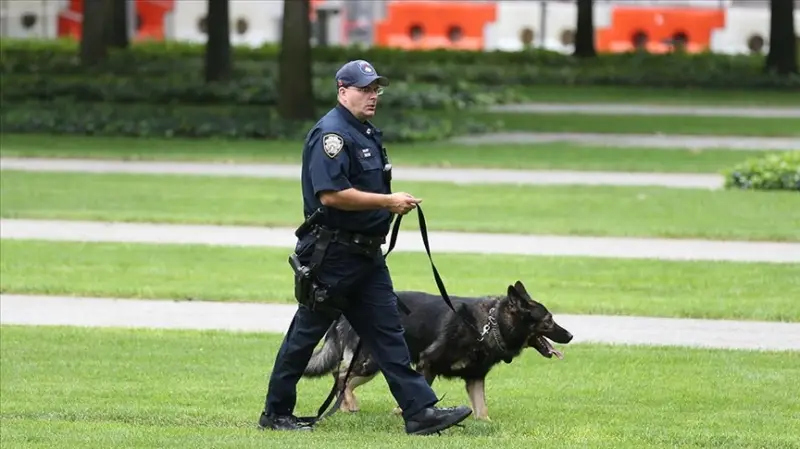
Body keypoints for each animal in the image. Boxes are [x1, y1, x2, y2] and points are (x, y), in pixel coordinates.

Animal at [304, 280, 572, 420]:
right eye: (548, 320)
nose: (570, 336)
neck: (489, 324)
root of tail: (342, 314)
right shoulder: (427, 364)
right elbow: (422, 392)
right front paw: (406, 413)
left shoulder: (475, 378)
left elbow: (482, 409)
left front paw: (485, 424)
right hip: (370, 362)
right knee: (340, 375)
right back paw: (348, 404)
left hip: (374, 365)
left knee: (343, 378)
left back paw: (345, 406)